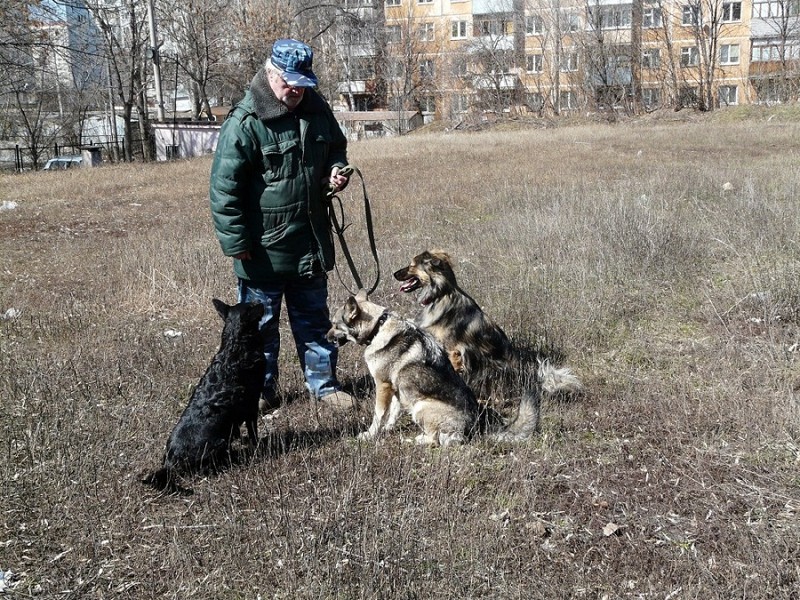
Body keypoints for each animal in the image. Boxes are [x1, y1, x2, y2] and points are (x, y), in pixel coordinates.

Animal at [142, 298, 268, 492]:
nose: (262, 301)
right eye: (252, 306)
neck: (235, 346)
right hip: (219, 443)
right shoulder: (251, 405)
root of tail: (170, 463)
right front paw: (257, 446)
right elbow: (253, 432)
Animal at [328, 290, 540, 446]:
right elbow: (392, 413)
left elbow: (378, 415)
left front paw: (370, 434)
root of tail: (477, 426)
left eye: (334, 325)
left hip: (420, 407)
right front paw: (387, 429)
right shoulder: (396, 389)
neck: (378, 327)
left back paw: (413, 440)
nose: (325, 336)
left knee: (437, 440)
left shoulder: (383, 385)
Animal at [394, 251, 580, 400]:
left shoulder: (453, 351)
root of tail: (531, 382)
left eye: (411, 265)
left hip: (492, 368)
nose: (394, 273)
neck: (440, 295)